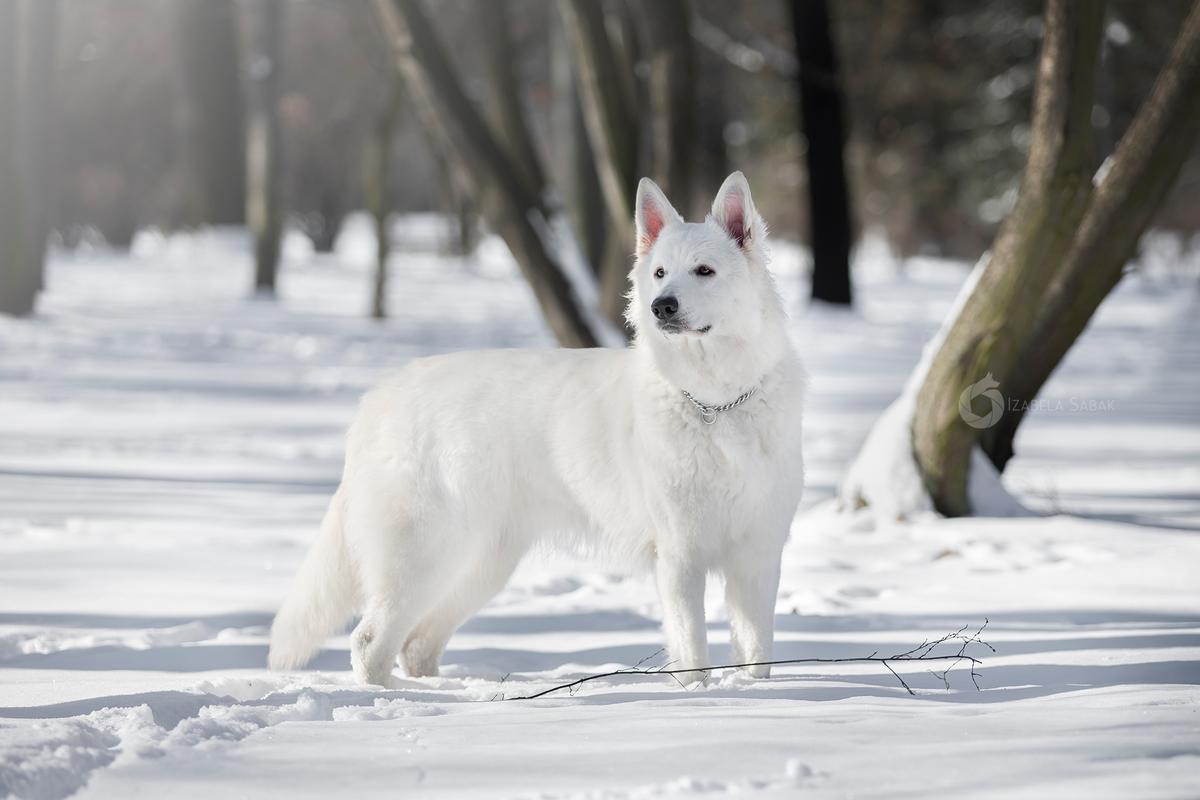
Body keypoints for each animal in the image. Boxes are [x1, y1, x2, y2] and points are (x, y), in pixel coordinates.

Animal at [270, 172, 806, 686]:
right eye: (659, 274)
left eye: (704, 271)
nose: (662, 306)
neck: (714, 403)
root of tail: (381, 397)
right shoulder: (679, 557)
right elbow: (693, 652)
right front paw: (700, 699)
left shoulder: (758, 556)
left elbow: (757, 653)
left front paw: (755, 694)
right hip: (427, 555)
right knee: (369, 643)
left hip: (480, 564)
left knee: (416, 644)